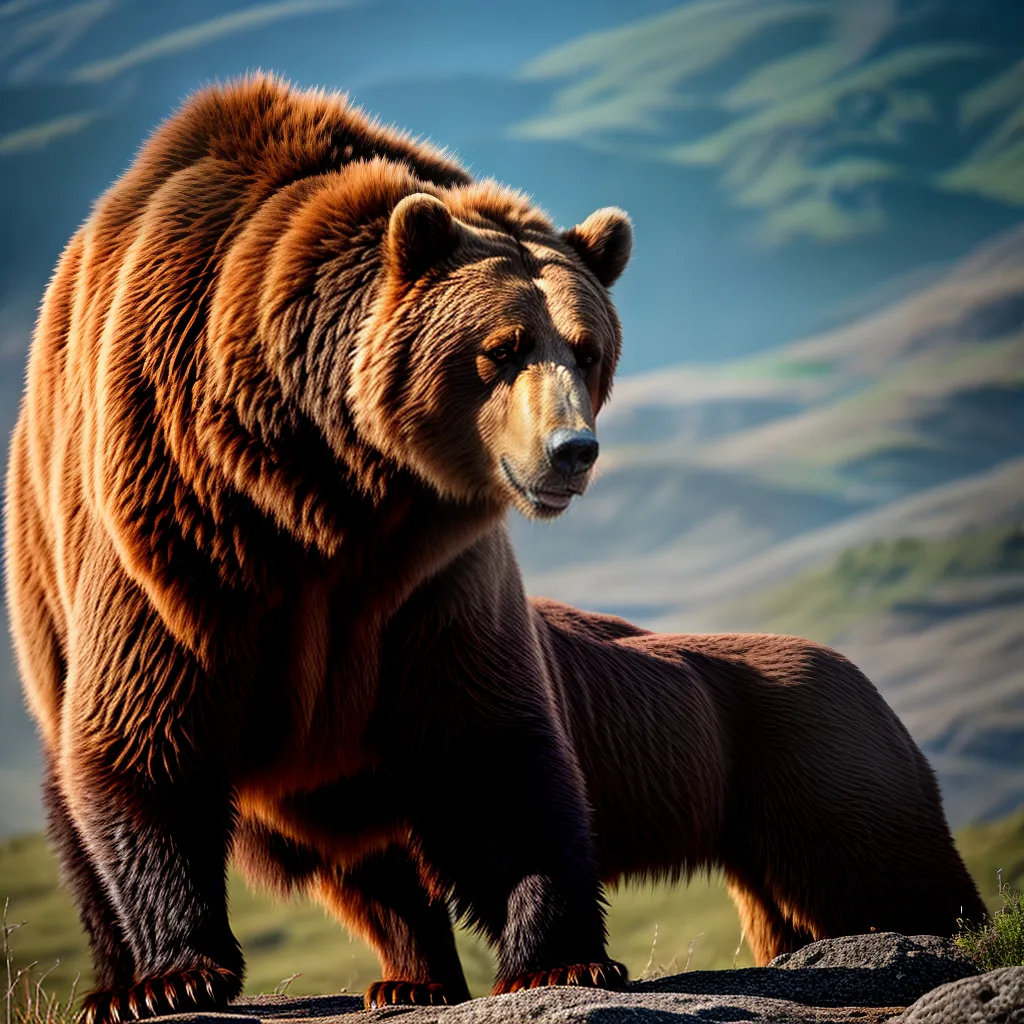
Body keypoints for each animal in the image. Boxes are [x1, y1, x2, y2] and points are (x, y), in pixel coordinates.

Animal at [4, 73, 635, 1021]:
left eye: (588, 349)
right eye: (502, 348)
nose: (572, 450)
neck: (334, 480)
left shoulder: (429, 577)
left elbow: (488, 743)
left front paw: (560, 958)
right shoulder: (178, 521)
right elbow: (142, 732)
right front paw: (180, 974)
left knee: (373, 848)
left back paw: (411, 974)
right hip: (45, 585)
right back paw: (119, 983)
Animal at [238, 601, 986, 1003]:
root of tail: (869, 683)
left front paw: (563, 967)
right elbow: (379, 890)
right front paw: (406, 985)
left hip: (815, 764)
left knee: (892, 876)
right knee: (784, 908)